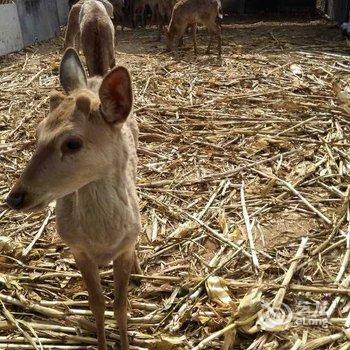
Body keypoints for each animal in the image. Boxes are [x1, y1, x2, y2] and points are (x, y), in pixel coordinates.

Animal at [6, 48, 141, 350]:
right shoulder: (77, 248)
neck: (102, 241)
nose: (15, 197)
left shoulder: (124, 248)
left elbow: (120, 306)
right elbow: (97, 304)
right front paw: (102, 344)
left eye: (72, 143)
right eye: (37, 132)